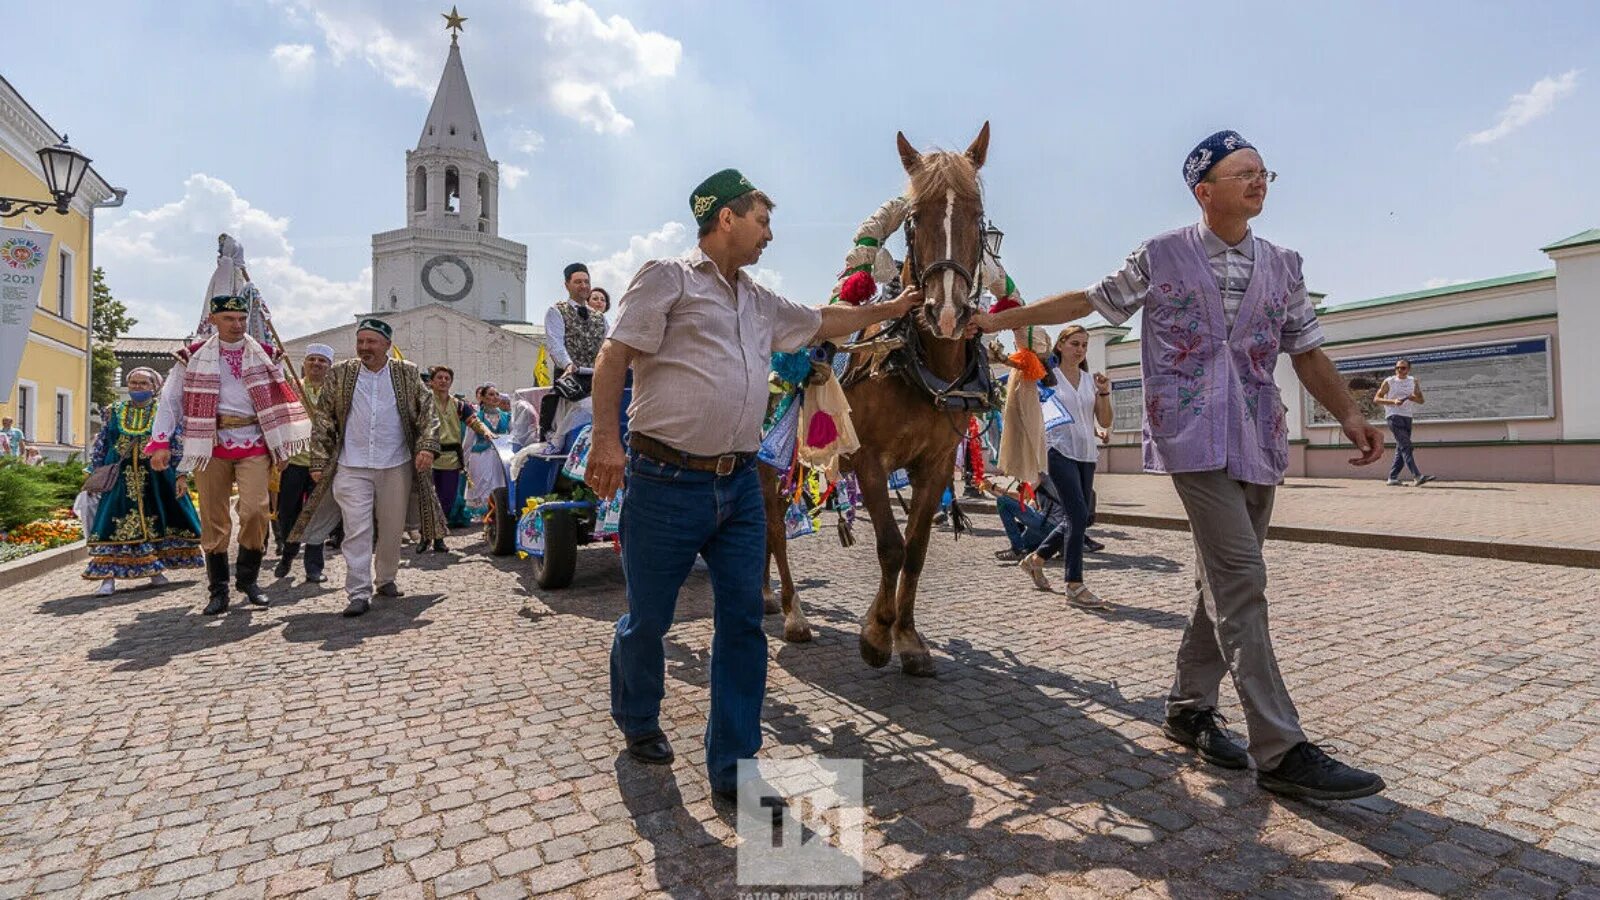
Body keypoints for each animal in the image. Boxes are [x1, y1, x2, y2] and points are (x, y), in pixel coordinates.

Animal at [758, 124, 992, 672]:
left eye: (976, 215)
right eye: (914, 218)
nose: (945, 312)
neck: (917, 364)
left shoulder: (936, 462)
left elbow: (917, 548)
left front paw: (907, 635)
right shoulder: (868, 459)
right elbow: (890, 547)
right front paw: (876, 633)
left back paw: (764, 595)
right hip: (767, 460)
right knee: (774, 529)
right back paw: (792, 612)